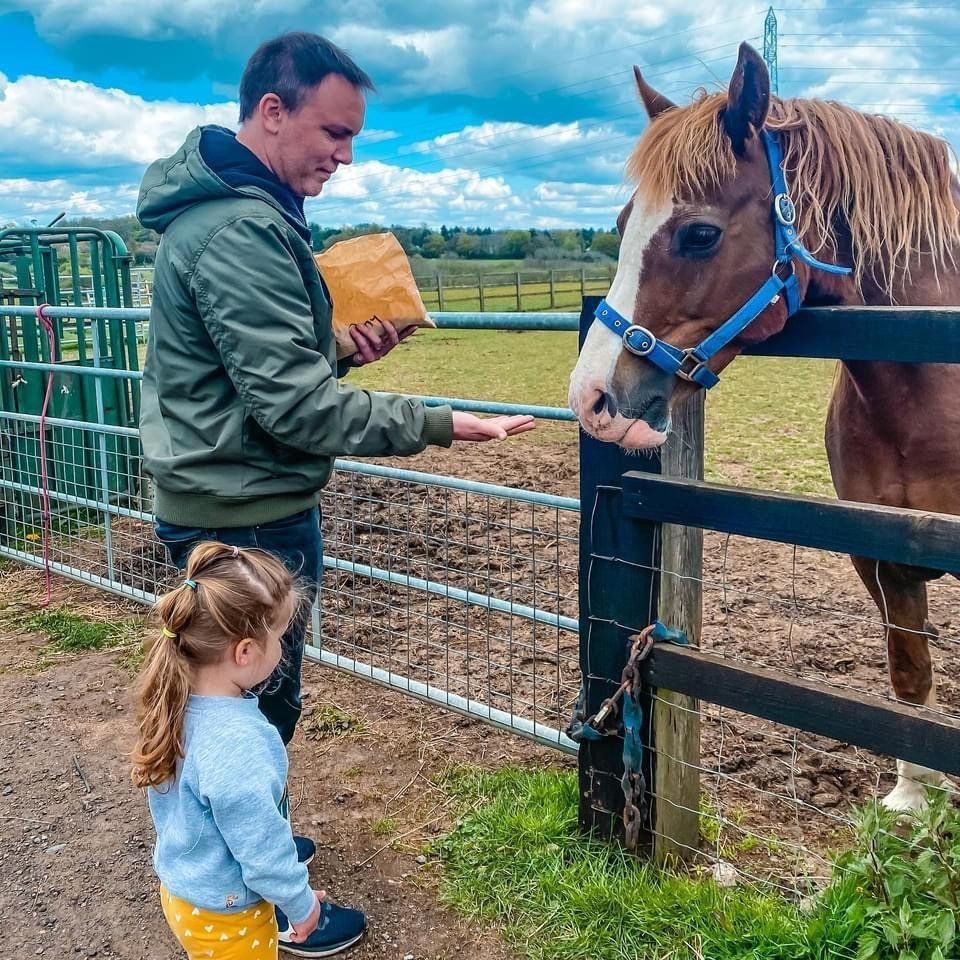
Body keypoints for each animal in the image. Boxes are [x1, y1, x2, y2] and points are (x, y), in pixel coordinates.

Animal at [568, 42, 960, 813]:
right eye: (623, 226)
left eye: (699, 234)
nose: (589, 397)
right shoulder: (879, 553)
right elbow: (909, 670)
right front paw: (913, 800)